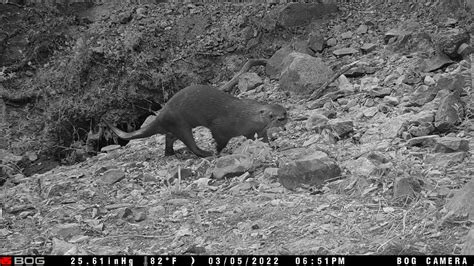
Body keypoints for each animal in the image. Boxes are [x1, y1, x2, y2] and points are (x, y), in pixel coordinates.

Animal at [105, 84, 286, 157]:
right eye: (272, 115)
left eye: (285, 112)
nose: (282, 119)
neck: (244, 115)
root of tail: (162, 114)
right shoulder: (221, 126)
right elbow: (219, 139)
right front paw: (217, 151)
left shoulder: (254, 131)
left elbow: (262, 139)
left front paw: (272, 146)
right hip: (180, 123)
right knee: (190, 143)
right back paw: (205, 153)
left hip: (175, 126)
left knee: (169, 136)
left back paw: (171, 153)